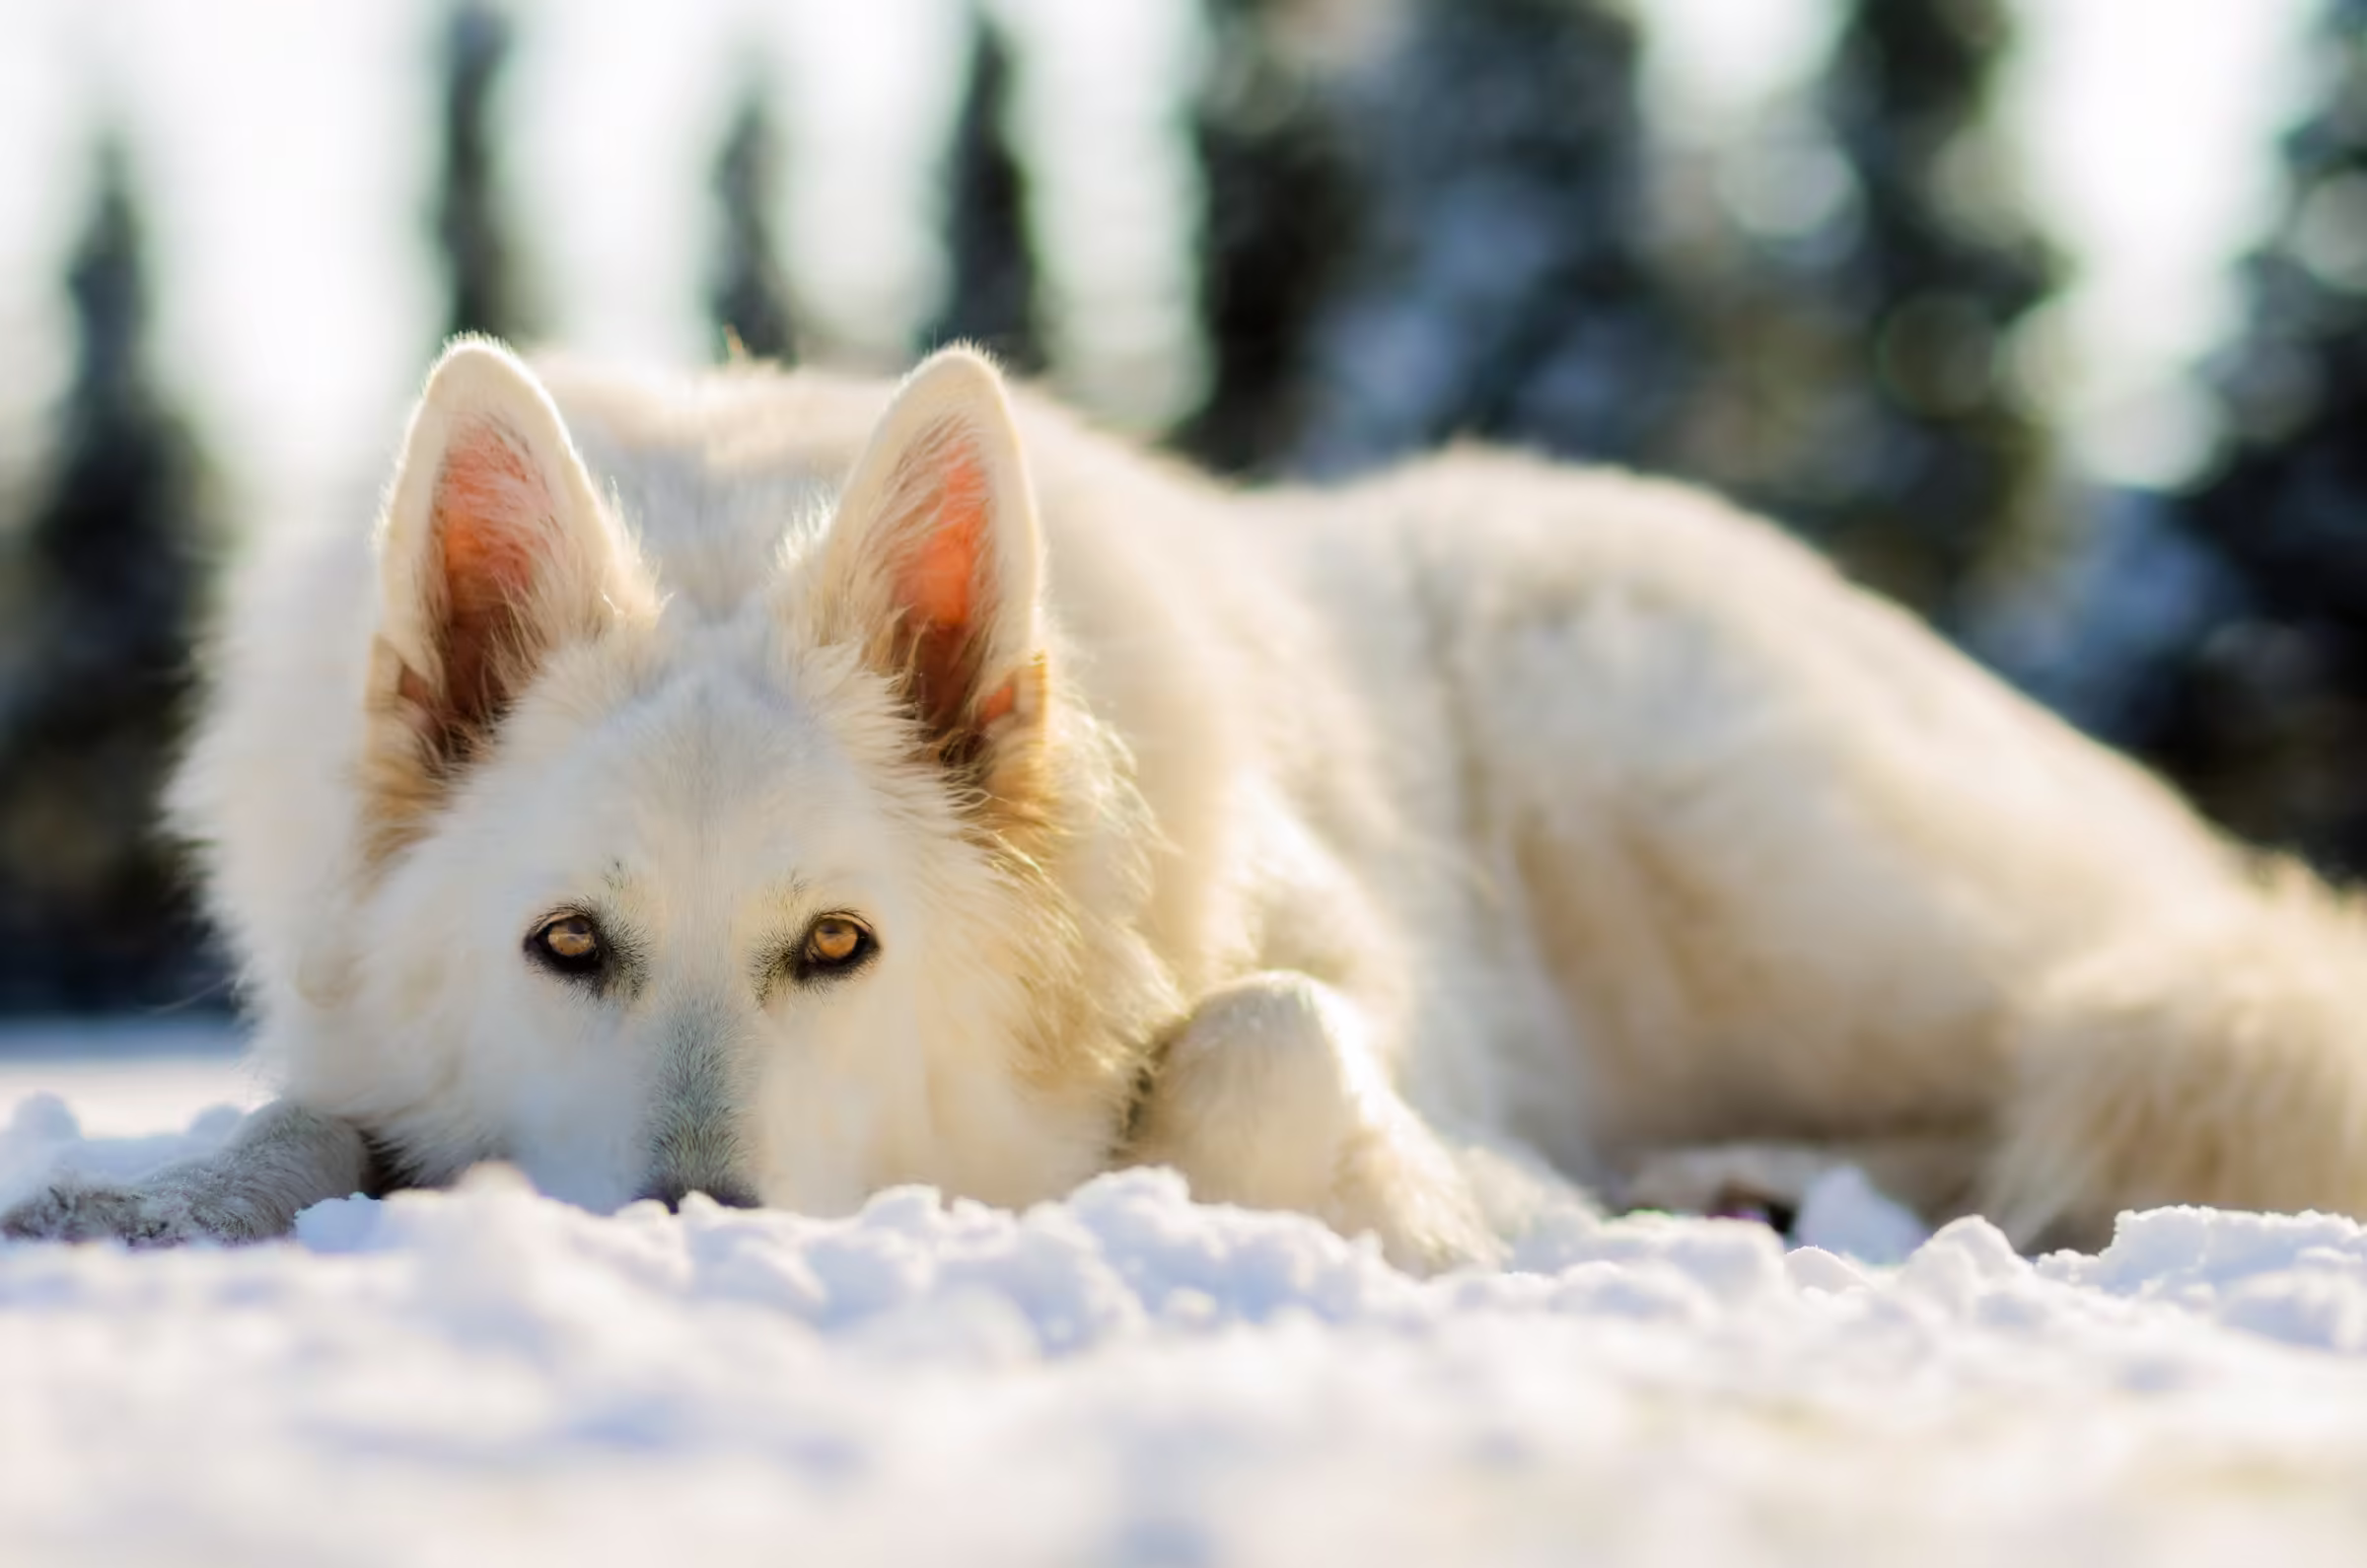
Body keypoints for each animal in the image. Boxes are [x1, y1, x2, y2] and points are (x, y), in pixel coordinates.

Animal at [10, 339, 2367, 1268]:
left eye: (839, 947)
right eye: (564, 948)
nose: (696, 1226)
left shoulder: (1337, 1015)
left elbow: (1261, 1047)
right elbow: (305, 1126)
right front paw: (142, 1203)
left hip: (1729, 828)